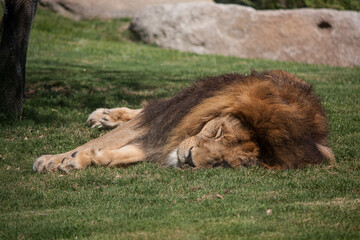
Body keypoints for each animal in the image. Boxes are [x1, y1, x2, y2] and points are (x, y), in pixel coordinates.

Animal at [33, 69, 334, 172]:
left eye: (223, 162)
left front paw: (81, 160)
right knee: (147, 107)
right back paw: (105, 115)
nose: (189, 159)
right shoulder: (166, 121)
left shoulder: (163, 141)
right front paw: (51, 160)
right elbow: (106, 139)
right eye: (218, 132)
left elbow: (120, 153)